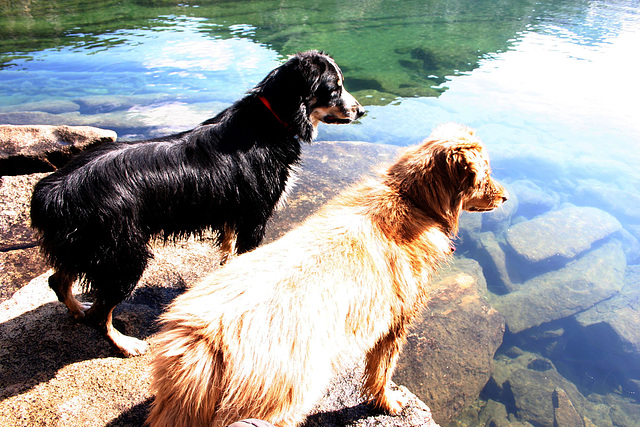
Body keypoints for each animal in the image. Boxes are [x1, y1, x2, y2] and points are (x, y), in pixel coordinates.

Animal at [30, 50, 362, 358]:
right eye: (334, 88)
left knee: (57, 280)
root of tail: (53, 192)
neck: (272, 121)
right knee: (100, 313)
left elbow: (229, 248)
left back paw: (77, 309)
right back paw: (124, 344)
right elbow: (246, 252)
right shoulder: (255, 214)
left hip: (82, 246)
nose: (361, 110)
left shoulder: (234, 208)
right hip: (122, 254)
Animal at [148, 123, 508, 427]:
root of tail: (205, 340)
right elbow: (381, 373)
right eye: (486, 174)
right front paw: (388, 403)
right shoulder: (396, 325)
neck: (411, 200)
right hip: (281, 403)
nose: (505, 196)